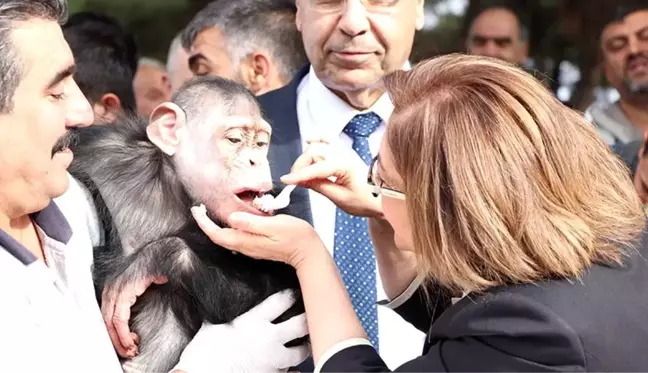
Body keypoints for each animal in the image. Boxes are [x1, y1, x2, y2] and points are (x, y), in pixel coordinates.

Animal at [68, 75, 306, 372]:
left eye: (261, 144)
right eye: (234, 139)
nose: (256, 160)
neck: (176, 186)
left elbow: (290, 294)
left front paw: (156, 258)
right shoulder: (101, 151)